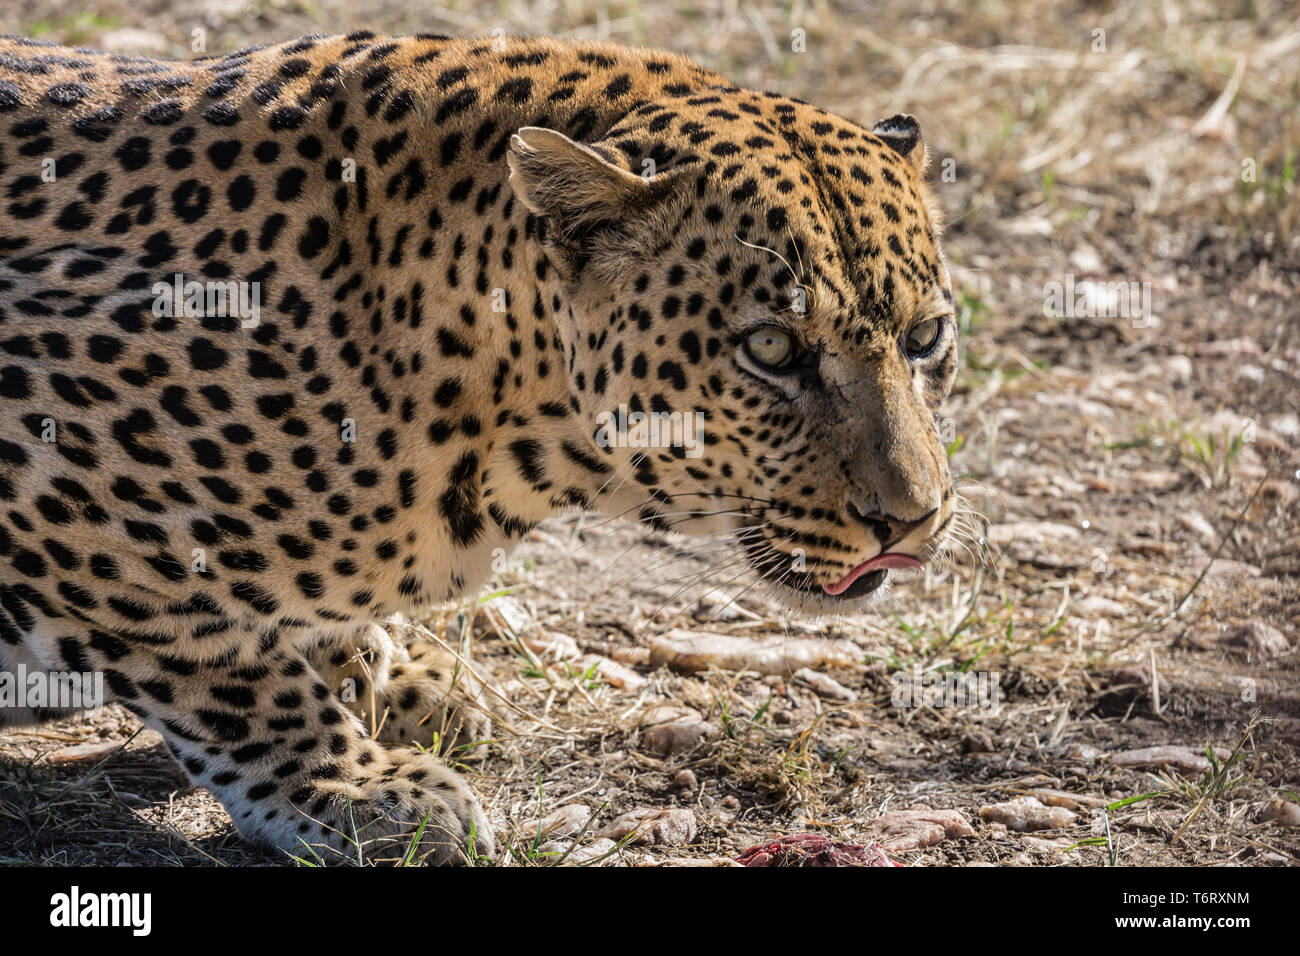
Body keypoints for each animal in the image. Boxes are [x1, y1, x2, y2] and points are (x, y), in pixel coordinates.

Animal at [0, 29, 956, 868]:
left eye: (925, 338)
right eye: (770, 350)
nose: (910, 521)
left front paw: (388, 676)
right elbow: (219, 657)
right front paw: (356, 789)